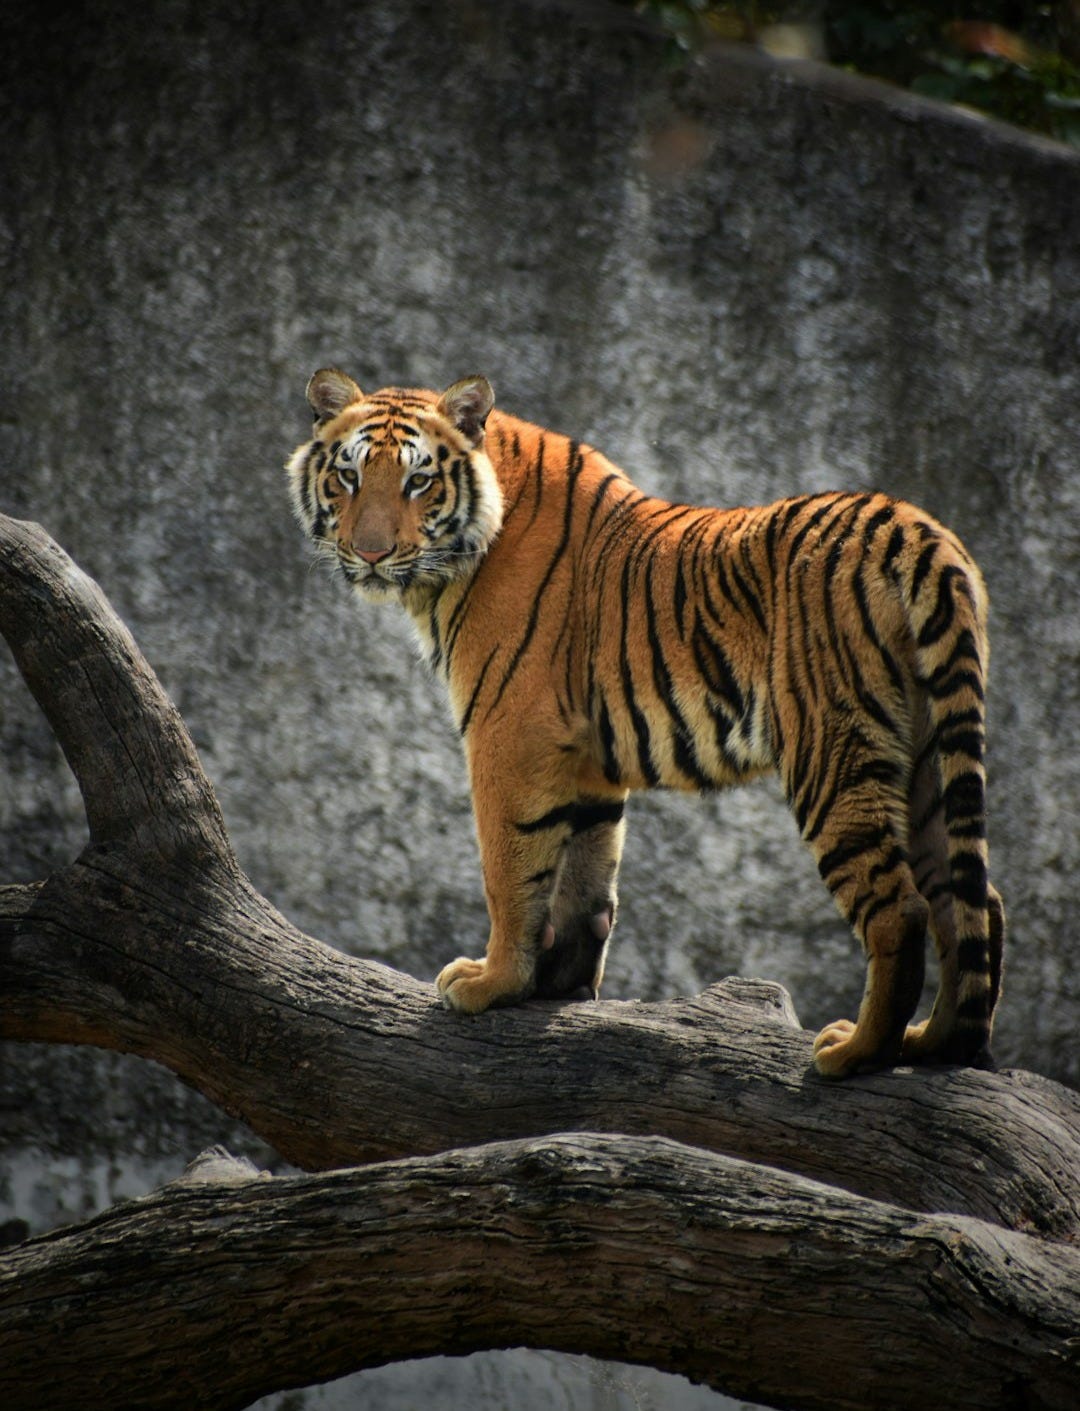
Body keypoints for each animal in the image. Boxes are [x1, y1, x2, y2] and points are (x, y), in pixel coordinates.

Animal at [283, 369, 1005, 1072]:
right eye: (349, 477)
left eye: (418, 480)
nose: (371, 553)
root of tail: (916, 529)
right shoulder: (585, 757)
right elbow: (585, 875)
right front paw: (558, 985)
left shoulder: (508, 733)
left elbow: (510, 869)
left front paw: (492, 983)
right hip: (928, 756)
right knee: (972, 902)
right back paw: (934, 1043)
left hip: (832, 752)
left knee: (901, 909)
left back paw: (854, 1053)